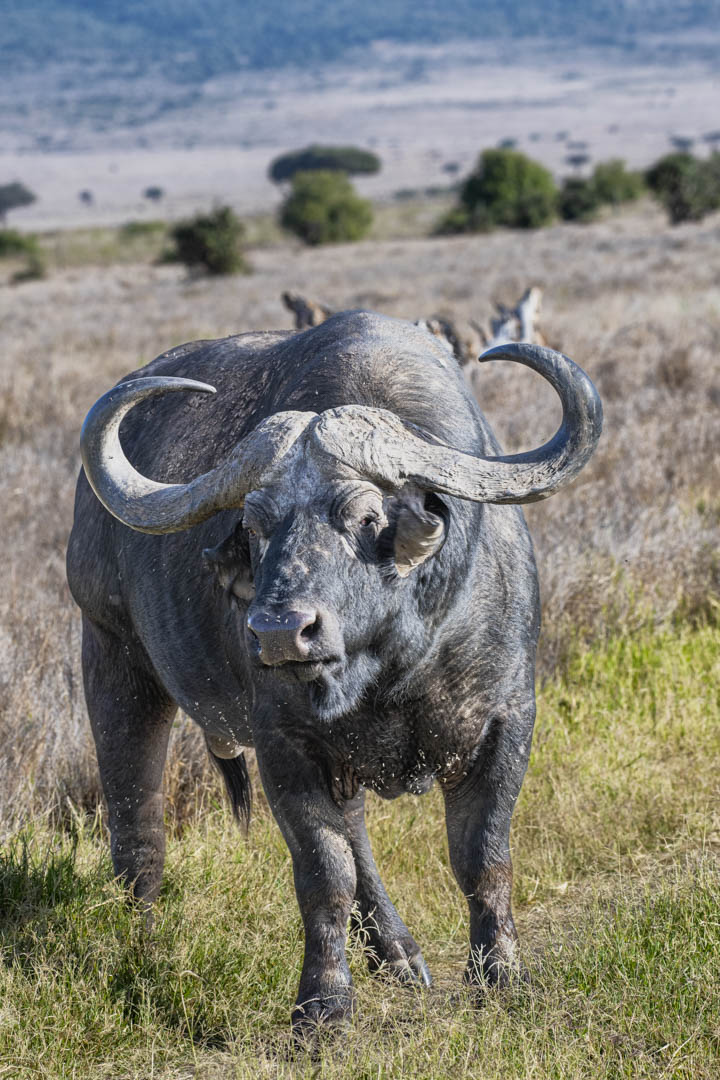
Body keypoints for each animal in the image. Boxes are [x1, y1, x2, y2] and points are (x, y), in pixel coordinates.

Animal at [67, 311, 602, 1031]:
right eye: (255, 525)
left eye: (364, 516)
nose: (279, 632)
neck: (390, 667)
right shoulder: (285, 748)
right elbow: (325, 875)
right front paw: (321, 1009)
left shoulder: (505, 720)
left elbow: (482, 856)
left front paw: (500, 975)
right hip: (113, 656)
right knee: (137, 826)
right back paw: (142, 952)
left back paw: (400, 957)